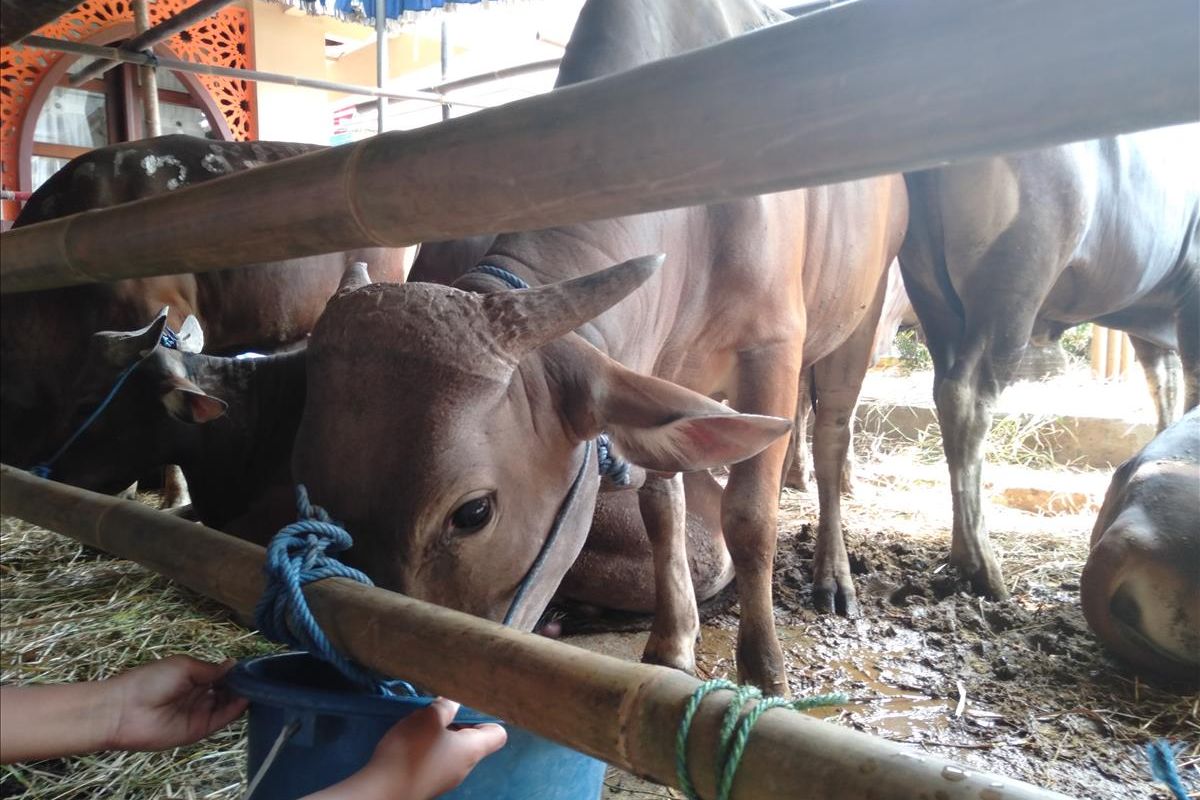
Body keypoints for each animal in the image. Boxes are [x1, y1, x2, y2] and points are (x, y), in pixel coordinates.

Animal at [290, 0, 902, 695]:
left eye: (472, 513)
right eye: (306, 481)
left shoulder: (771, 349)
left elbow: (749, 518)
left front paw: (766, 672)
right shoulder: (658, 371)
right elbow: (662, 503)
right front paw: (671, 645)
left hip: (863, 315)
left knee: (831, 439)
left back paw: (834, 574)